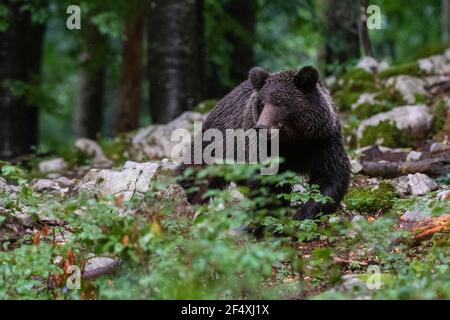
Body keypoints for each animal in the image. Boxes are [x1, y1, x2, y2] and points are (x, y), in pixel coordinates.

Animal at [178, 65, 350, 220]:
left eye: (280, 103)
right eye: (262, 103)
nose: (261, 127)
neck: (293, 139)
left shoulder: (322, 141)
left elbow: (331, 177)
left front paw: (303, 213)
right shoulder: (262, 147)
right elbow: (264, 181)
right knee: (196, 172)